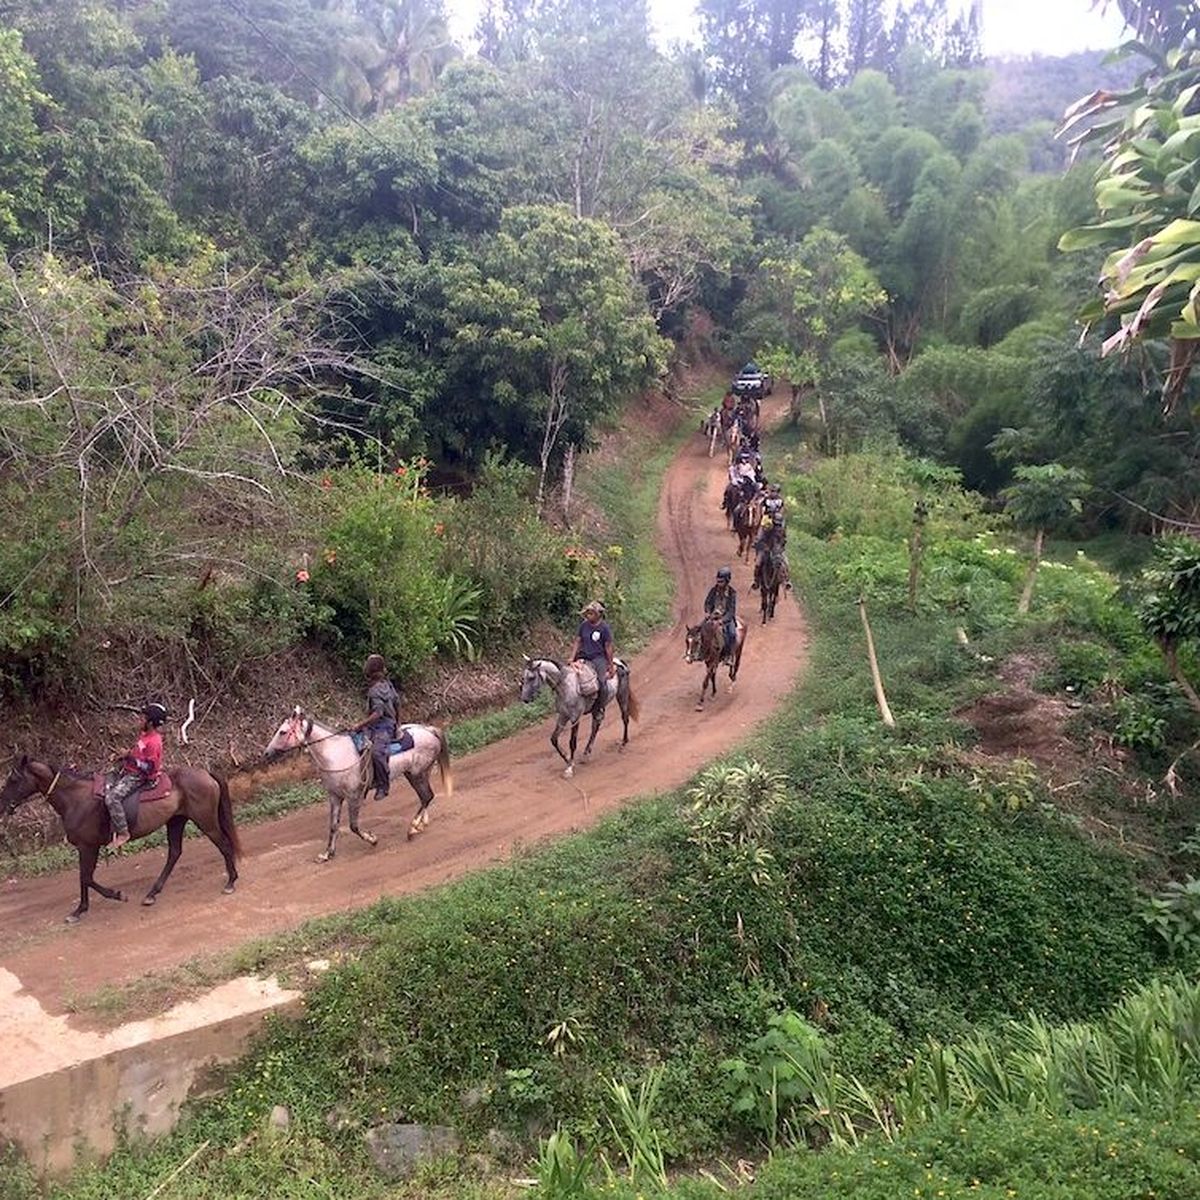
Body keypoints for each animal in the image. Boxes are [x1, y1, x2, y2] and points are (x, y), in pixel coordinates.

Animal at [0, 753, 241, 921]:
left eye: (13, 779)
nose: (3, 805)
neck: (75, 799)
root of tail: (206, 773)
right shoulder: (86, 847)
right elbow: (84, 877)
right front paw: (80, 910)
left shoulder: (88, 846)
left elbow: (86, 877)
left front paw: (115, 895)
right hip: (176, 821)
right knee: (174, 853)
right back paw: (152, 893)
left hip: (205, 821)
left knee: (223, 845)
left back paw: (230, 881)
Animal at [265, 700, 451, 864]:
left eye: (282, 732)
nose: (266, 753)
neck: (335, 754)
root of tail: (428, 729)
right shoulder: (335, 796)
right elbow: (333, 825)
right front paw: (327, 854)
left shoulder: (354, 796)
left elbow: (353, 826)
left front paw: (372, 839)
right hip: (420, 773)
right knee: (425, 797)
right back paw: (421, 825)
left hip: (416, 774)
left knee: (426, 796)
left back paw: (412, 828)